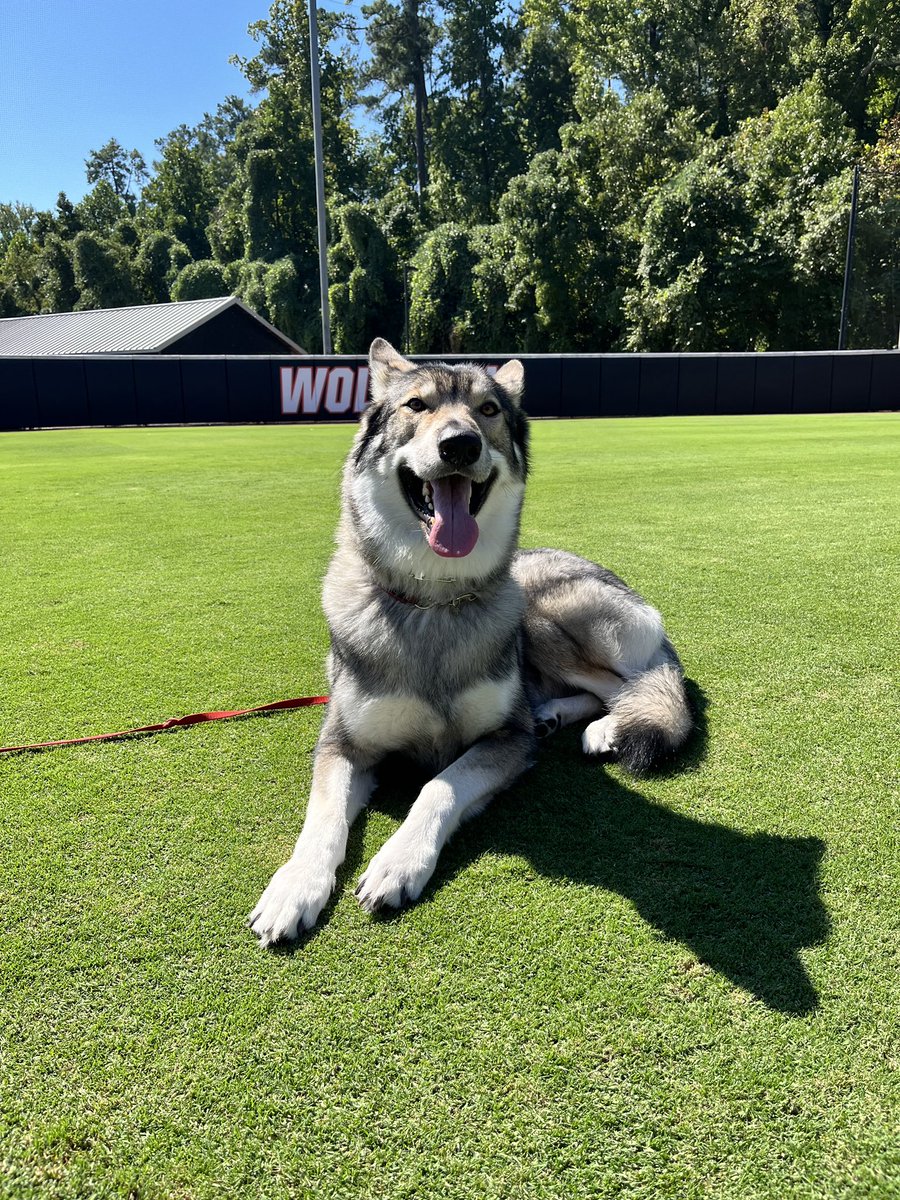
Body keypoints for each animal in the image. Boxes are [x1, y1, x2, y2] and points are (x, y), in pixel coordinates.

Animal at [250, 338, 696, 945]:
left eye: (488, 410)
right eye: (416, 405)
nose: (460, 444)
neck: (432, 605)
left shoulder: (506, 741)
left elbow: (439, 785)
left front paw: (398, 863)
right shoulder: (343, 745)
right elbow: (321, 820)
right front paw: (295, 887)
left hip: (542, 614)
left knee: (634, 685)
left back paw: (603, 727)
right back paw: (555, 714)